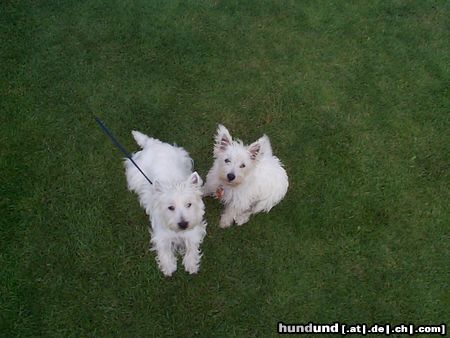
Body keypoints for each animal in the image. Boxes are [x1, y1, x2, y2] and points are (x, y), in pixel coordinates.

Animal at [124, 131, 207, 276]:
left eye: (189, 204)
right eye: (170, 207)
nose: (183, 224)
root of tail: (153, 144)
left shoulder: (194, 230)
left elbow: (191, 247)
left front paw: (191, 265)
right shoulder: (161, 234)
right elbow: (164, 248)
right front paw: (168, 267)